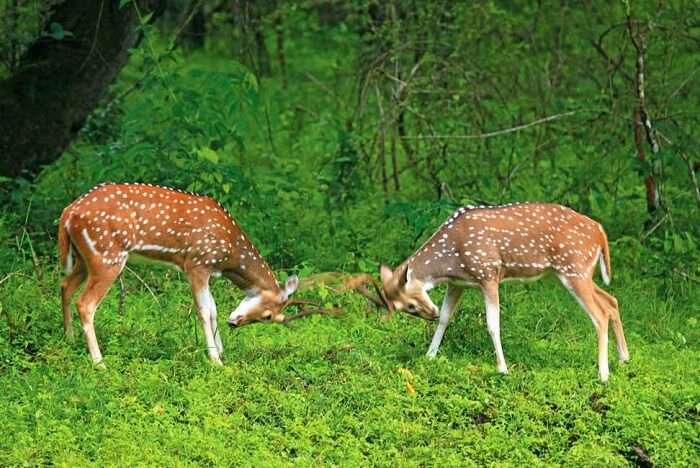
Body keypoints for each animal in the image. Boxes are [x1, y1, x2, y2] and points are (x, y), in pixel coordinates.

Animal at [380, 203, 632, 382]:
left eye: (410, 305)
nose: (428, 314)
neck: (449, 261)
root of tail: (600, 231)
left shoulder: (489, 274)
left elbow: (493, 324)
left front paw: (502, 369)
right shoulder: (458, 284)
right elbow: (445, 318)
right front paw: (430, 355)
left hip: (574, 269)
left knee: (599, 315)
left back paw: (603, 374)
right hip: (578, 273)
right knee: (611, 300)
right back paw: (624, 359)